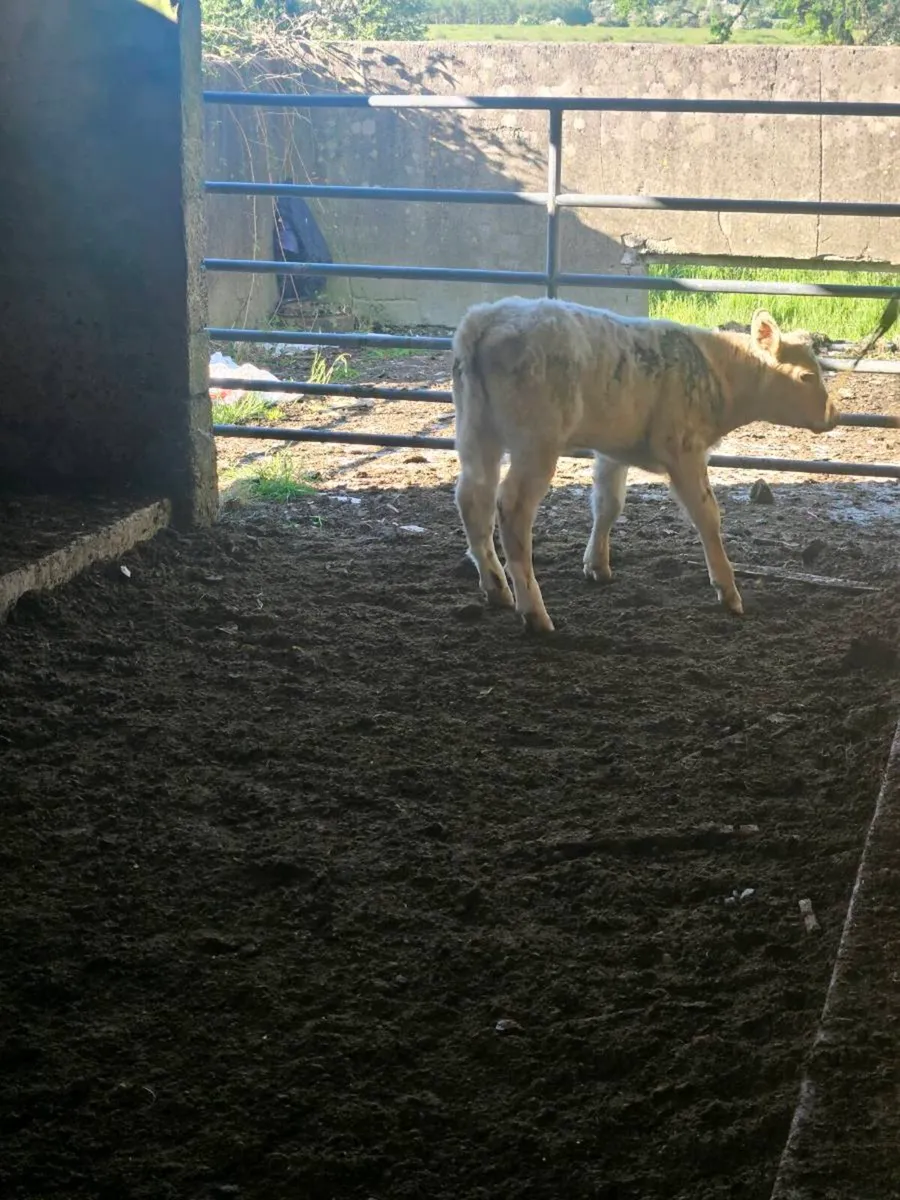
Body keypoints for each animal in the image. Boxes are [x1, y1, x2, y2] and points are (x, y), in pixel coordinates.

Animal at [451, 296, 838, 633]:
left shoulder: (612, 451)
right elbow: (707, 516)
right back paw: (534, 611)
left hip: (476, 432)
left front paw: (597, 565)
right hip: (536, 442)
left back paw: (496, 586)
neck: (717, 370)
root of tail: (486, 318)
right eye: (806, 376)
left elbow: (608, 504)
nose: (834, 415)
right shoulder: (683, 448)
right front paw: (728, 591)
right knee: (511, 507)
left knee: (473, 498)